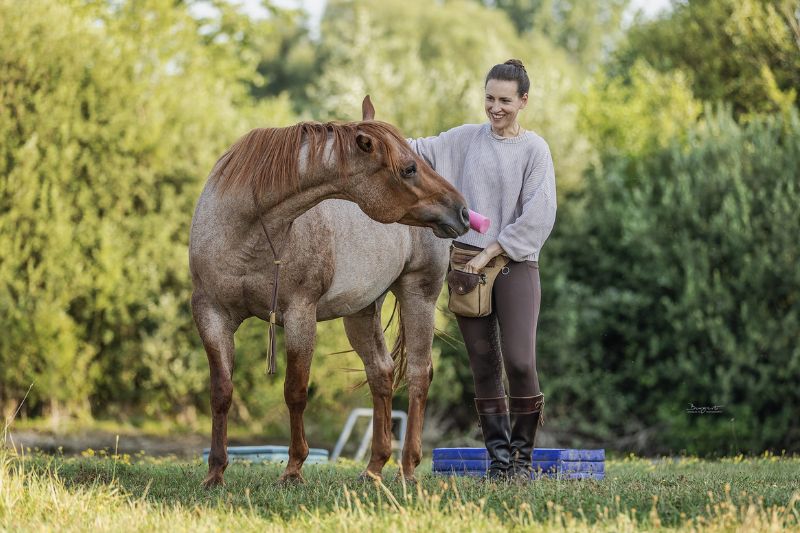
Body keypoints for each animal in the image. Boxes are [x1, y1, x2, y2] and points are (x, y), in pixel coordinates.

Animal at [191, 96, 468, 486]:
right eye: (409, 169)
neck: (245, 228)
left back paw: (408, 468)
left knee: (418, 372)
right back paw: (374, 468)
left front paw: (293, 469)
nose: (462, 211)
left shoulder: (299, 315)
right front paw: (215, 472)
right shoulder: (211, 313)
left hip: (419, 295)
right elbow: (221, 392)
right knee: (381, 372)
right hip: (362, 311)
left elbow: (294, 391)